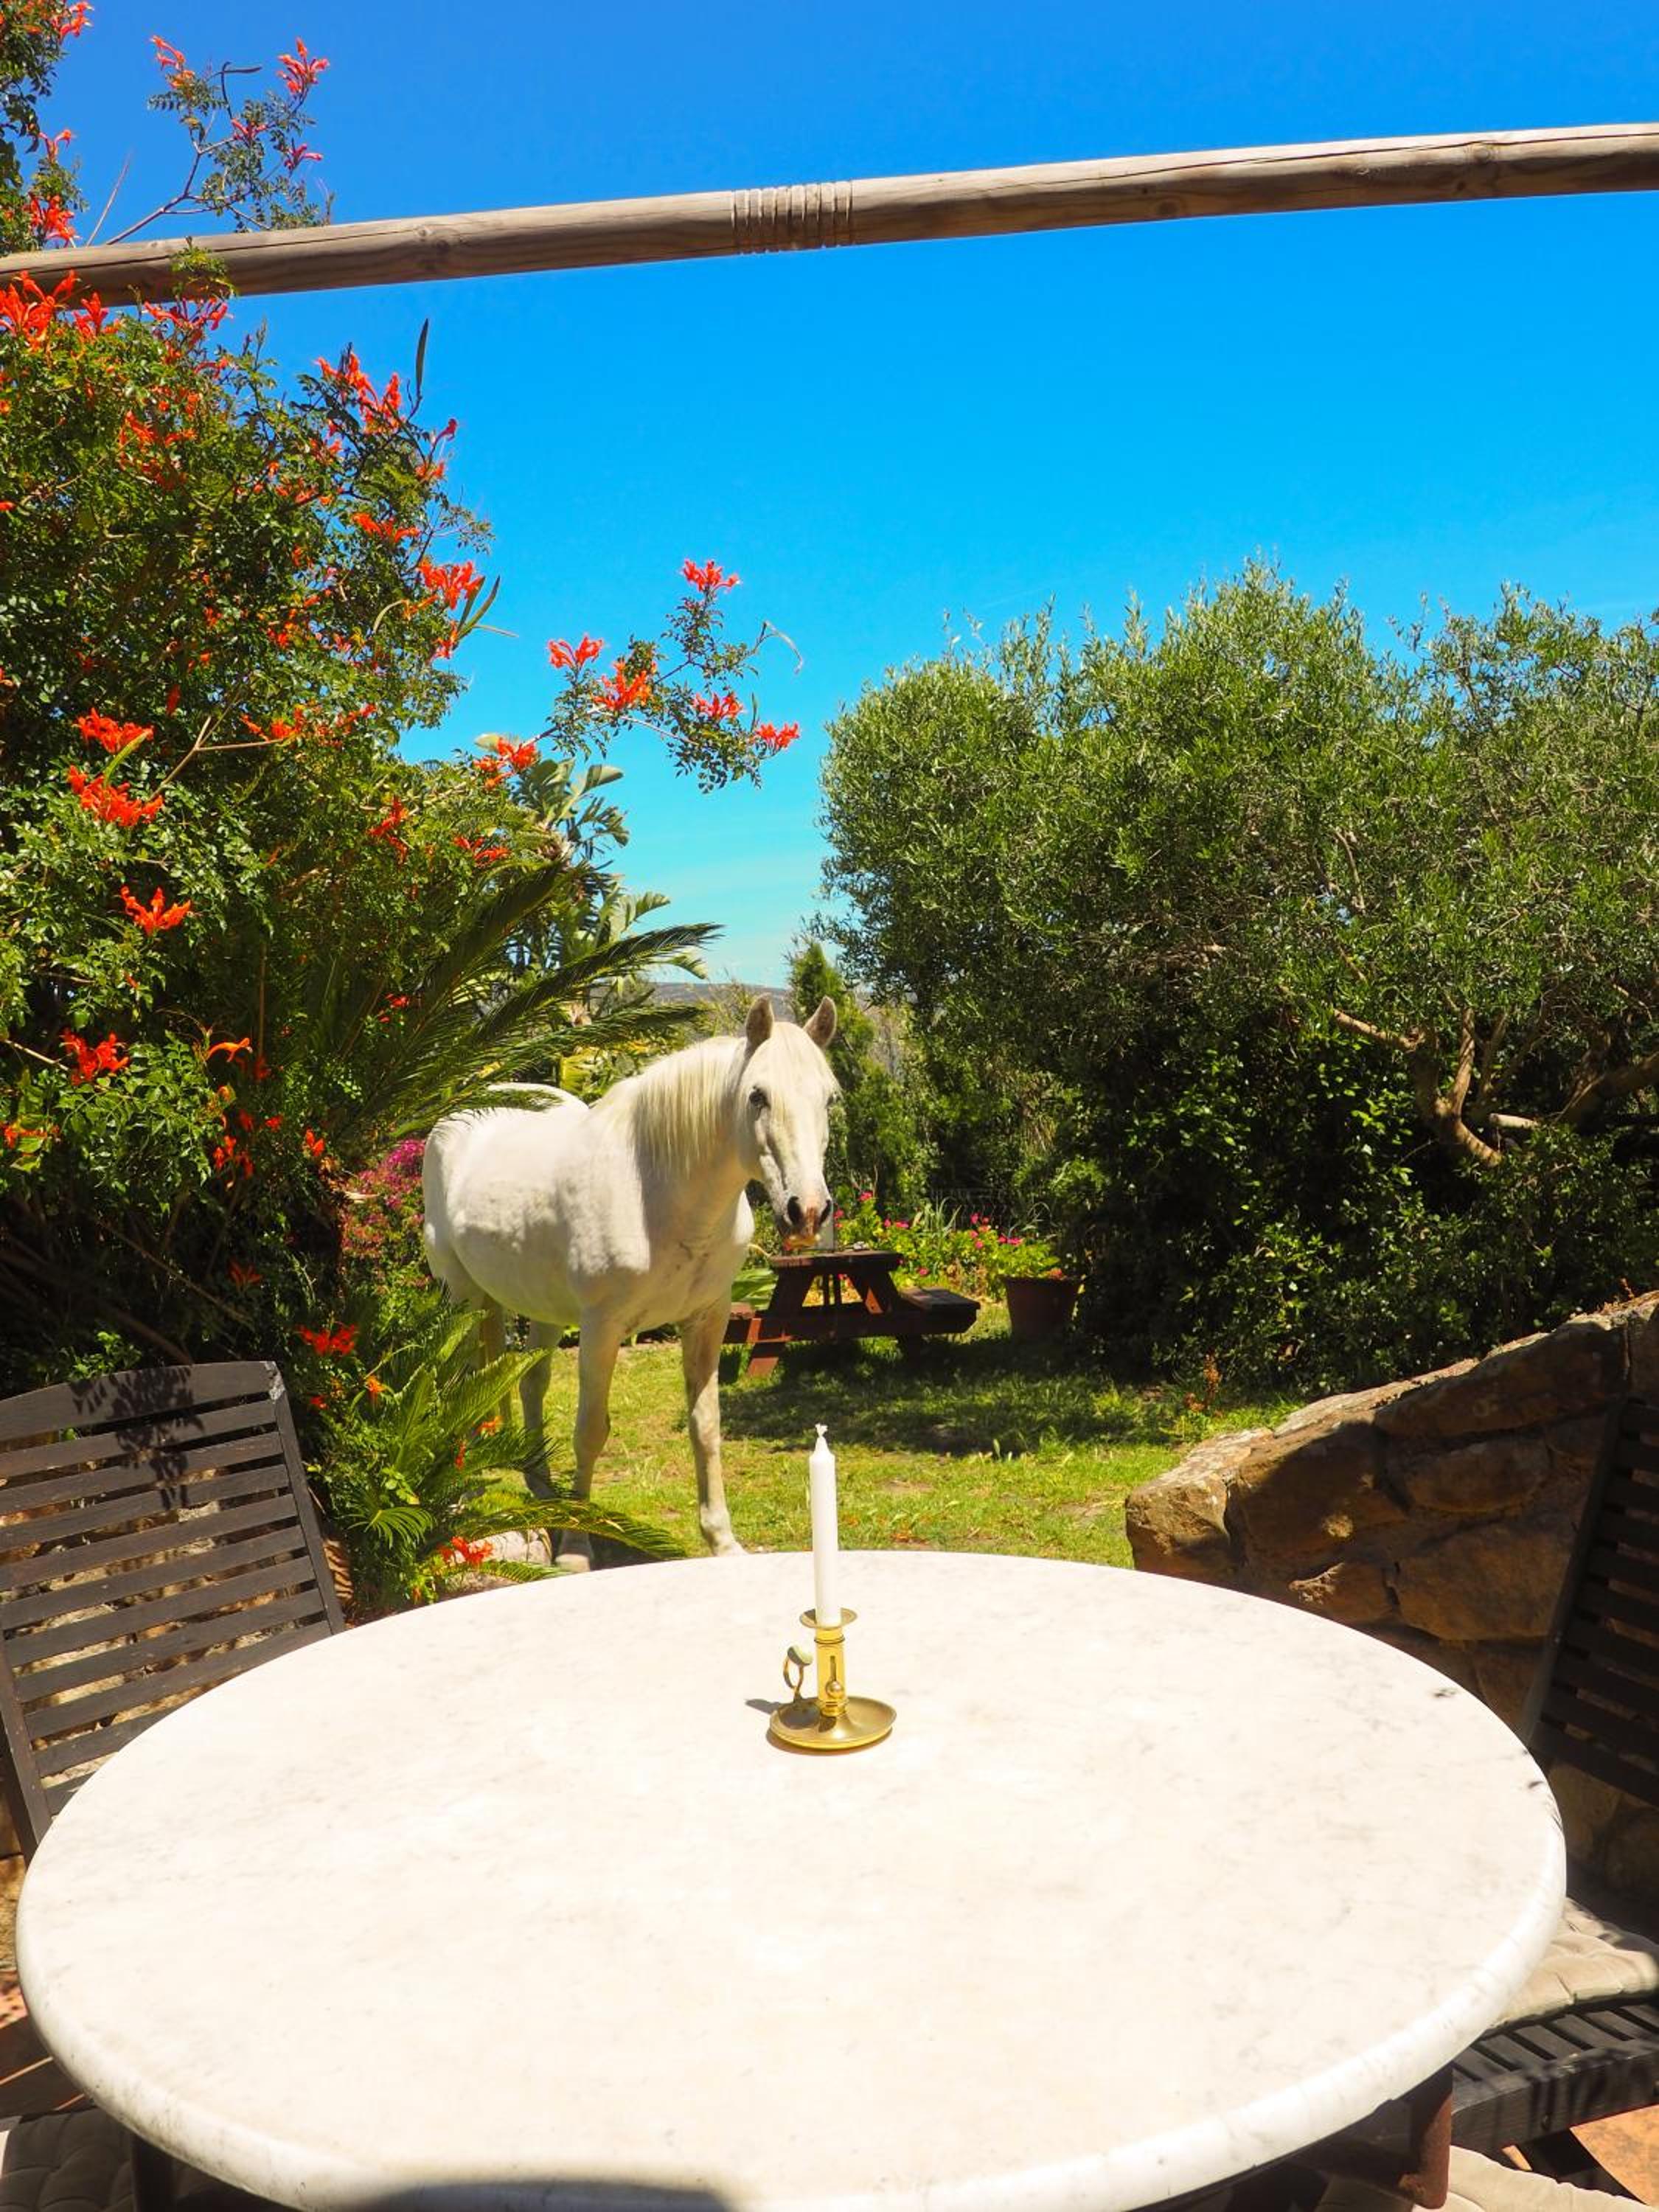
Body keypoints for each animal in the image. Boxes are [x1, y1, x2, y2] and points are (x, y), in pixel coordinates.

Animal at [421, 994, 839, 1564]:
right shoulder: (602, 1329)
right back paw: (465, 1496)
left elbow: (706, 1427)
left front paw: (723, 1541)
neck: (658, 1193)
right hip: (462, 1296)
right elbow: (590, 1432)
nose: (808, 1212)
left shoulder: (706, 1321)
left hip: (541, 1308)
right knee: (464, 1384)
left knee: (528, 1383)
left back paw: (542, 1490)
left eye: (829, 1099)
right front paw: (577, 1547)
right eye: (758, 1096)